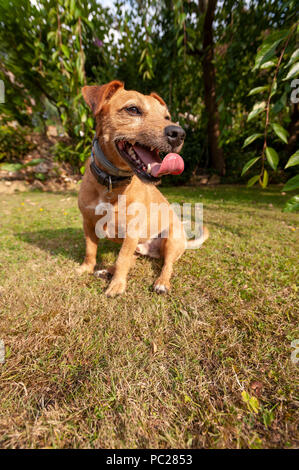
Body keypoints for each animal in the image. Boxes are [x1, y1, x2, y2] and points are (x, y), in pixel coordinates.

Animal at [78, 79, 209, 296]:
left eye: (166, 117)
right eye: (133, 109)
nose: (179, 133)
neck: (113, 183)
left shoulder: (131, 231)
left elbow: (123, 259)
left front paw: (117, 285)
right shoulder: (88, 222)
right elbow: (90, 250)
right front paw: (86, 268)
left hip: (171, 240)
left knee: (166, 265)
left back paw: (161, 282)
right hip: (138, 245)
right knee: (131, 258)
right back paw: (107, 271)